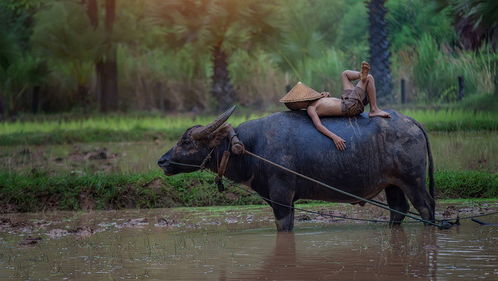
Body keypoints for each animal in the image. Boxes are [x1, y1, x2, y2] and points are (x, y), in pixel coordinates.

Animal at [158, 106, 434, 231]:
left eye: (186, 141)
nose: (162, 161)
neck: (250, 147)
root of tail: (411, 122)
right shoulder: (285, 200)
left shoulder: (281, 196)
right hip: (393, 184)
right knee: (398, 210)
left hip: (414, 181)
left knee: (425, 207)